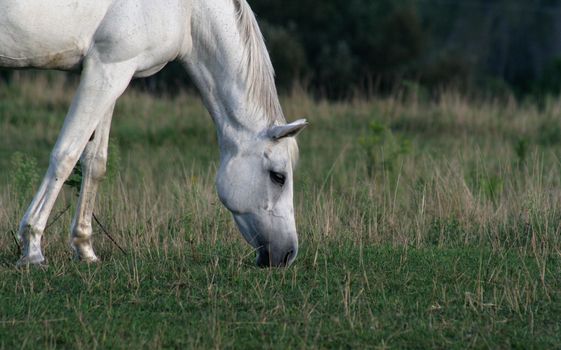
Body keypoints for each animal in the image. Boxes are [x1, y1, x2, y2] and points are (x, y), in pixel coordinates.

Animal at [1, 0, 306, 268]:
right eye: (278, 177)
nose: (288, 254)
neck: (187, 9)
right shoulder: (107, 68)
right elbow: (66, 155)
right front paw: (32, 248)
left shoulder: (111, 73)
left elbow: (95, 162)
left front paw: (84, 248)